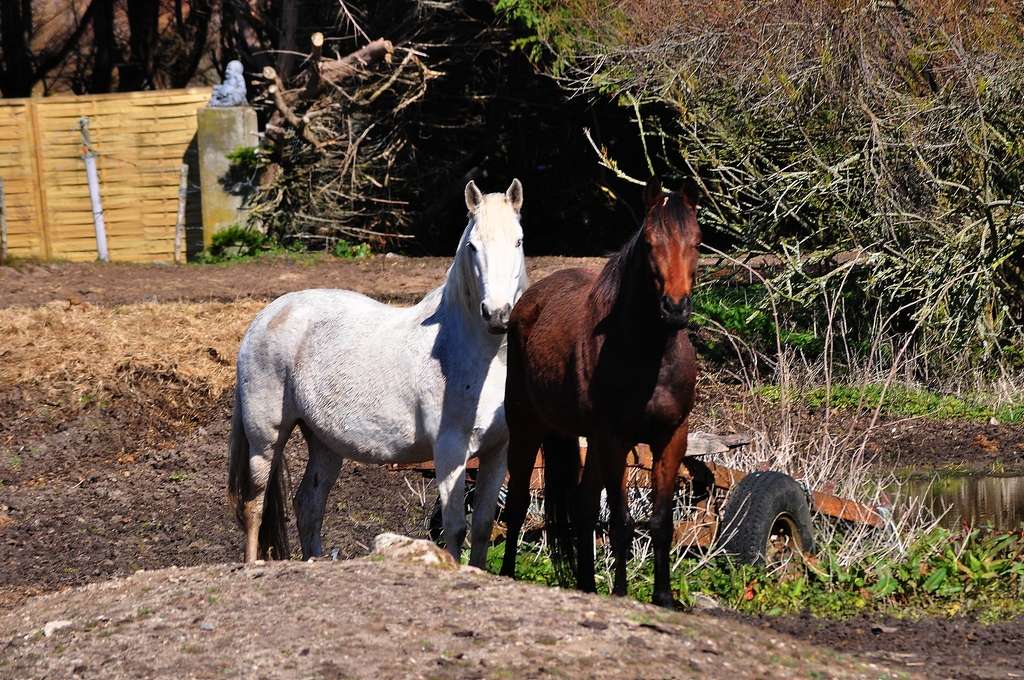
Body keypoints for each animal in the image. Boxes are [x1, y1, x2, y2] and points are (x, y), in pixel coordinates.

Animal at [227, 178, 524, 565]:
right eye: (473, 246)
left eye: (518, 241)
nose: (498, 314)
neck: (472, 353)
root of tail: (264, 317)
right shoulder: (451, 452)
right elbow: (456, 528)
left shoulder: (496, 451)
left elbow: (484, 526)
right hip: (266, 439)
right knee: (254, 504)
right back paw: (253, 564)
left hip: (324, 442)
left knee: (308, 503)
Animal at [497, 175, 704, 606]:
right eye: (649, 244)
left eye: (697, 242)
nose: (675, 308)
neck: (648, 355)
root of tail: (529, 301)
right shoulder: (616, 439)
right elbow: (621, 520)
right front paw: (622, 591)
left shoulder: (671, 438)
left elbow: (660, 521)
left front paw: (663, 597)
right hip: (527, 426)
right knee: (521, 502)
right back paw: (507, 573)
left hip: (586, 438)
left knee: (584, 504)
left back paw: (587, 585)